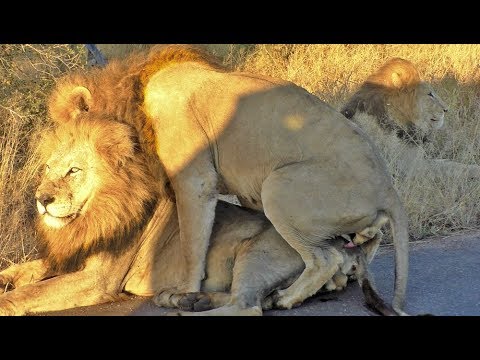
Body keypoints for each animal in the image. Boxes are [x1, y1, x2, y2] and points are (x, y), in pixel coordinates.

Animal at [0, 118, 400, 316]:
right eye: (46, 169)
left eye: (73, 171)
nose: (41, 200)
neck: (85, 218)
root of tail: (346, 248)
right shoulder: (64, 259)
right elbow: (24, 272)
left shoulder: (97, 280)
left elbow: (32, 291)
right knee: (246, 299)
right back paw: (182, 300)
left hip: (258, 253)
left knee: (248, 307)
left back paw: (186, 309)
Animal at [47, 43, 410, 312]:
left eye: (72, 164)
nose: (43, 198)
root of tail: (389, 190)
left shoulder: (194, 181)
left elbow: (192, 246)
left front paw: (186, 288)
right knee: (358, 246)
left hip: (277, 187)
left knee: (324, 259)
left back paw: (281, 299)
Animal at [340, 57, 480, 180]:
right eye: (430, 94)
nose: (446, 109)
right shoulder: (412, 167)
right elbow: (451, 166)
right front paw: (475, 169)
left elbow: (444, 161)